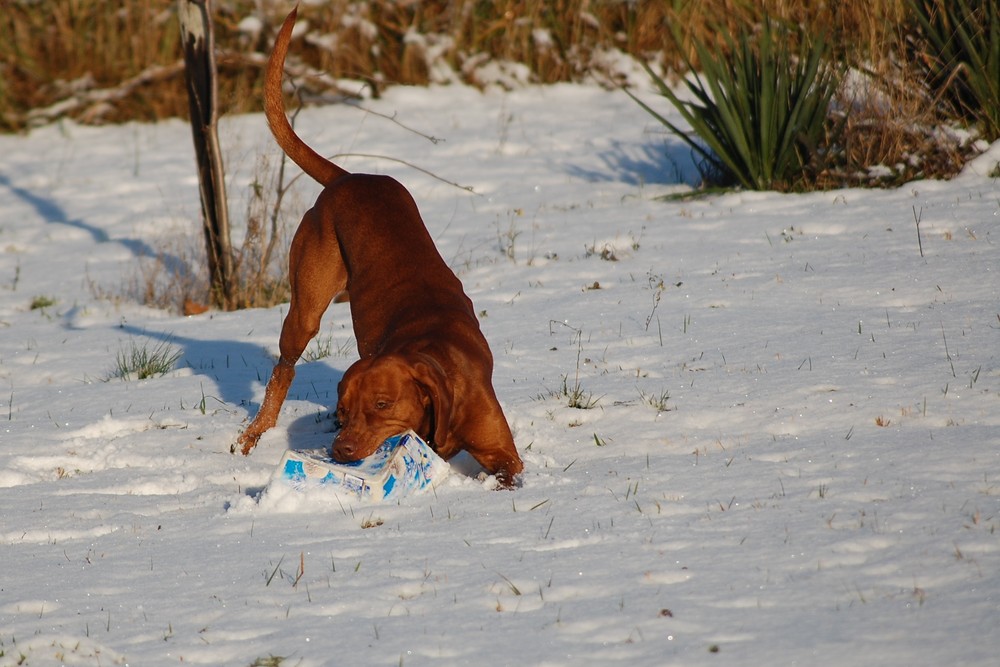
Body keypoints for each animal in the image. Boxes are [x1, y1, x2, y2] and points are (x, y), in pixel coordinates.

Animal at [234, 3, 524, 486]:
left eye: (383, 405)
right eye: (343, 410)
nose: (341, 450)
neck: (434, 354)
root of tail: (348, 178)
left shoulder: (504, 452)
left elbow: (506, 471)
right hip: (305, 308)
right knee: (282, 371)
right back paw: (251, 436)